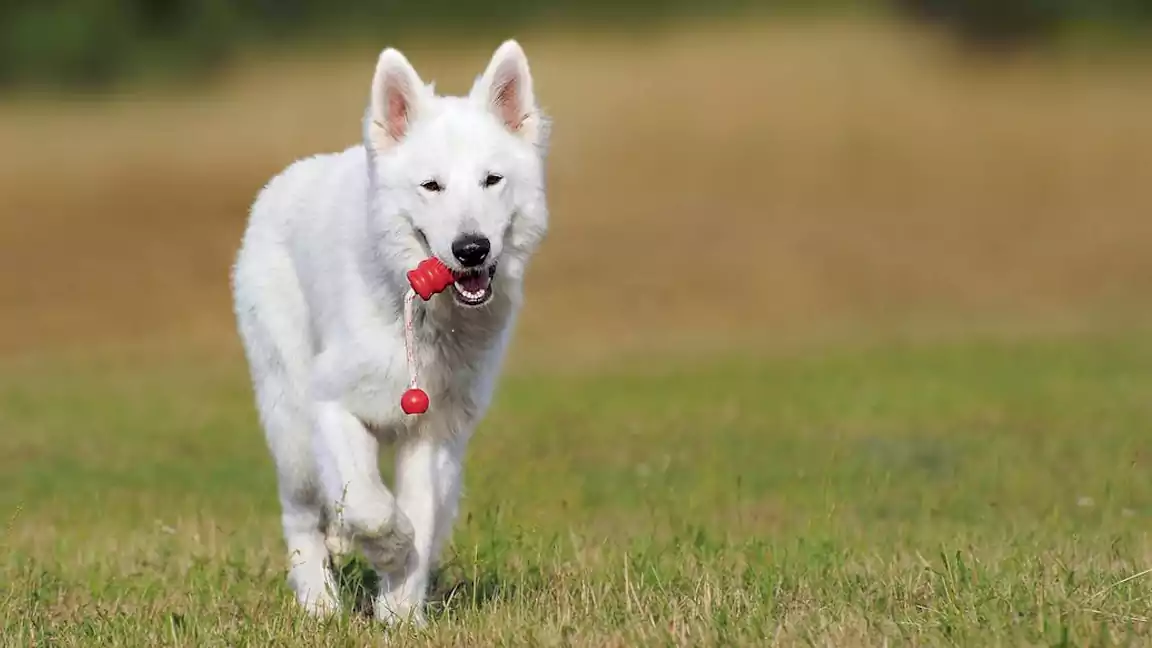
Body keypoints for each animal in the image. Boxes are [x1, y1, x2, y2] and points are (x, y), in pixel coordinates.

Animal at [229, 39, 548, 622]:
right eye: (432, 186)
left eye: (492, 180)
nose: (472, 249)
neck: (420, 316)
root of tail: (283, 181)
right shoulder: (330, 405)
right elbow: (370, 505)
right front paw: (389, 548)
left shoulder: (434, 434)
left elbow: (419, 515)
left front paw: (400, 613)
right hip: (291, 424)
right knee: (301, 513)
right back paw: (318, 604)